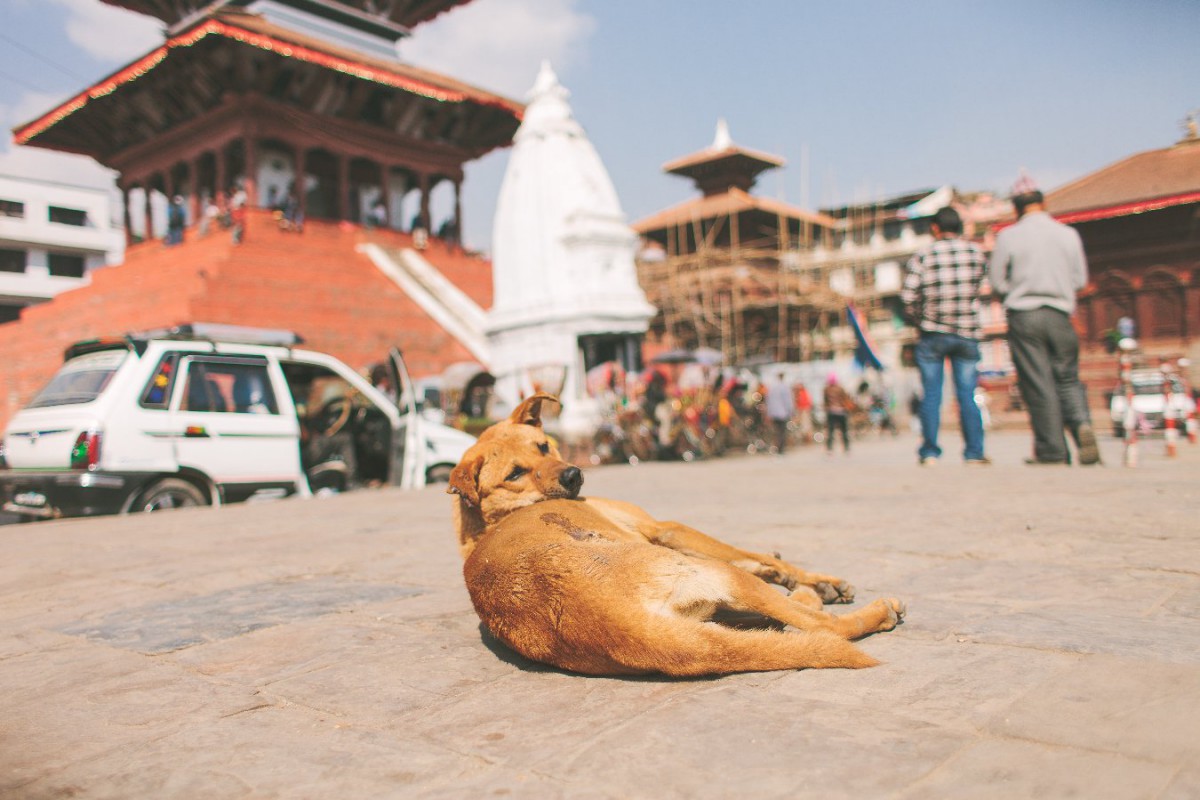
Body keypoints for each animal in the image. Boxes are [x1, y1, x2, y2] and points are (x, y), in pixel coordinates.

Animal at [448, 393, 902, 676]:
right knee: (822, 627)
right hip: (716, 577)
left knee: (776, 621)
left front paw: (807, 579)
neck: (490, 520)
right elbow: (753, 554)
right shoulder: (666, 528)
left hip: (708, 606)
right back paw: (859, 607)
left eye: (543, 446)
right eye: (514, 474)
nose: (574, 475)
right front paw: (812, 578)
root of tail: (628, 628)